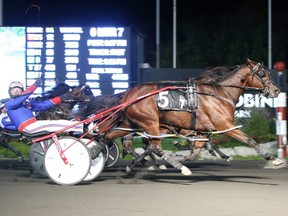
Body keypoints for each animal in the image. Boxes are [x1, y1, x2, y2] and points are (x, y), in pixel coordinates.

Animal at [103, 58, 282, 175]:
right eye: (262, 73)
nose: (277, 90)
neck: (220, 93)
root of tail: (128, 94)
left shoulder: (202, 131)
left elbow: (194, 154)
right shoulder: (225, 126)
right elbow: (250, 140)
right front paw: (272, 158)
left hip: (131, 123)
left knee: (111, 137)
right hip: (150, 122)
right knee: (153, 146)